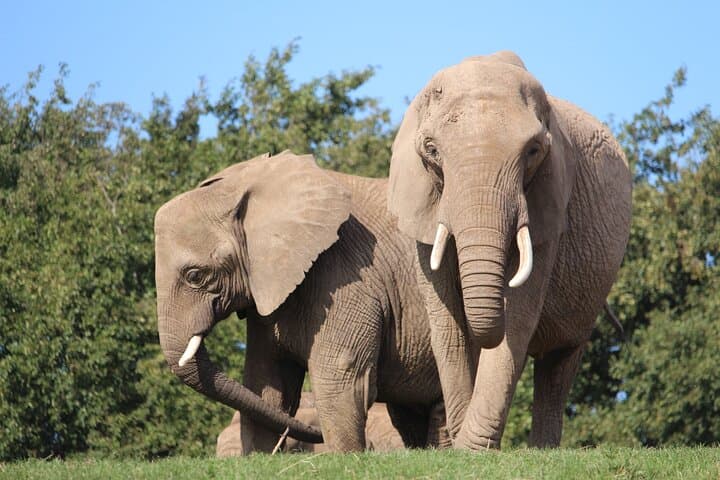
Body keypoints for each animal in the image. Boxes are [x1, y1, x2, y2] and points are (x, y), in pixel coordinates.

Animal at [386, 51, 632, 448]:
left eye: (533, 151)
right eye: (432, 150)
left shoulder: (549, 205)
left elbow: (517, 316)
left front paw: (472, 449)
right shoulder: (421, 203)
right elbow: (447, 322)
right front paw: (461, 444)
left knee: (559, 363)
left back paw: (543, 449)